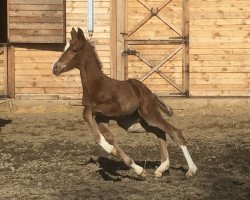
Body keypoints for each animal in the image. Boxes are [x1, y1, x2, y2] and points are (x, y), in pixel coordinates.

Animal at [52, 27, 197, 178]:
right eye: (65, 48)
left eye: (74, 50)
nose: (55, 67)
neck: (96, 85)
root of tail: (151, 94)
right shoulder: (102, 118)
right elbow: (109, 137)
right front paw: (137, 168)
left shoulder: (112, 110)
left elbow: (86, 112)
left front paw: (112, 152)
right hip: (134, 124)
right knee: (160, 133)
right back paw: (162, 168)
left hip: (149, 114)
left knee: (175, 132)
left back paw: (191, 170)